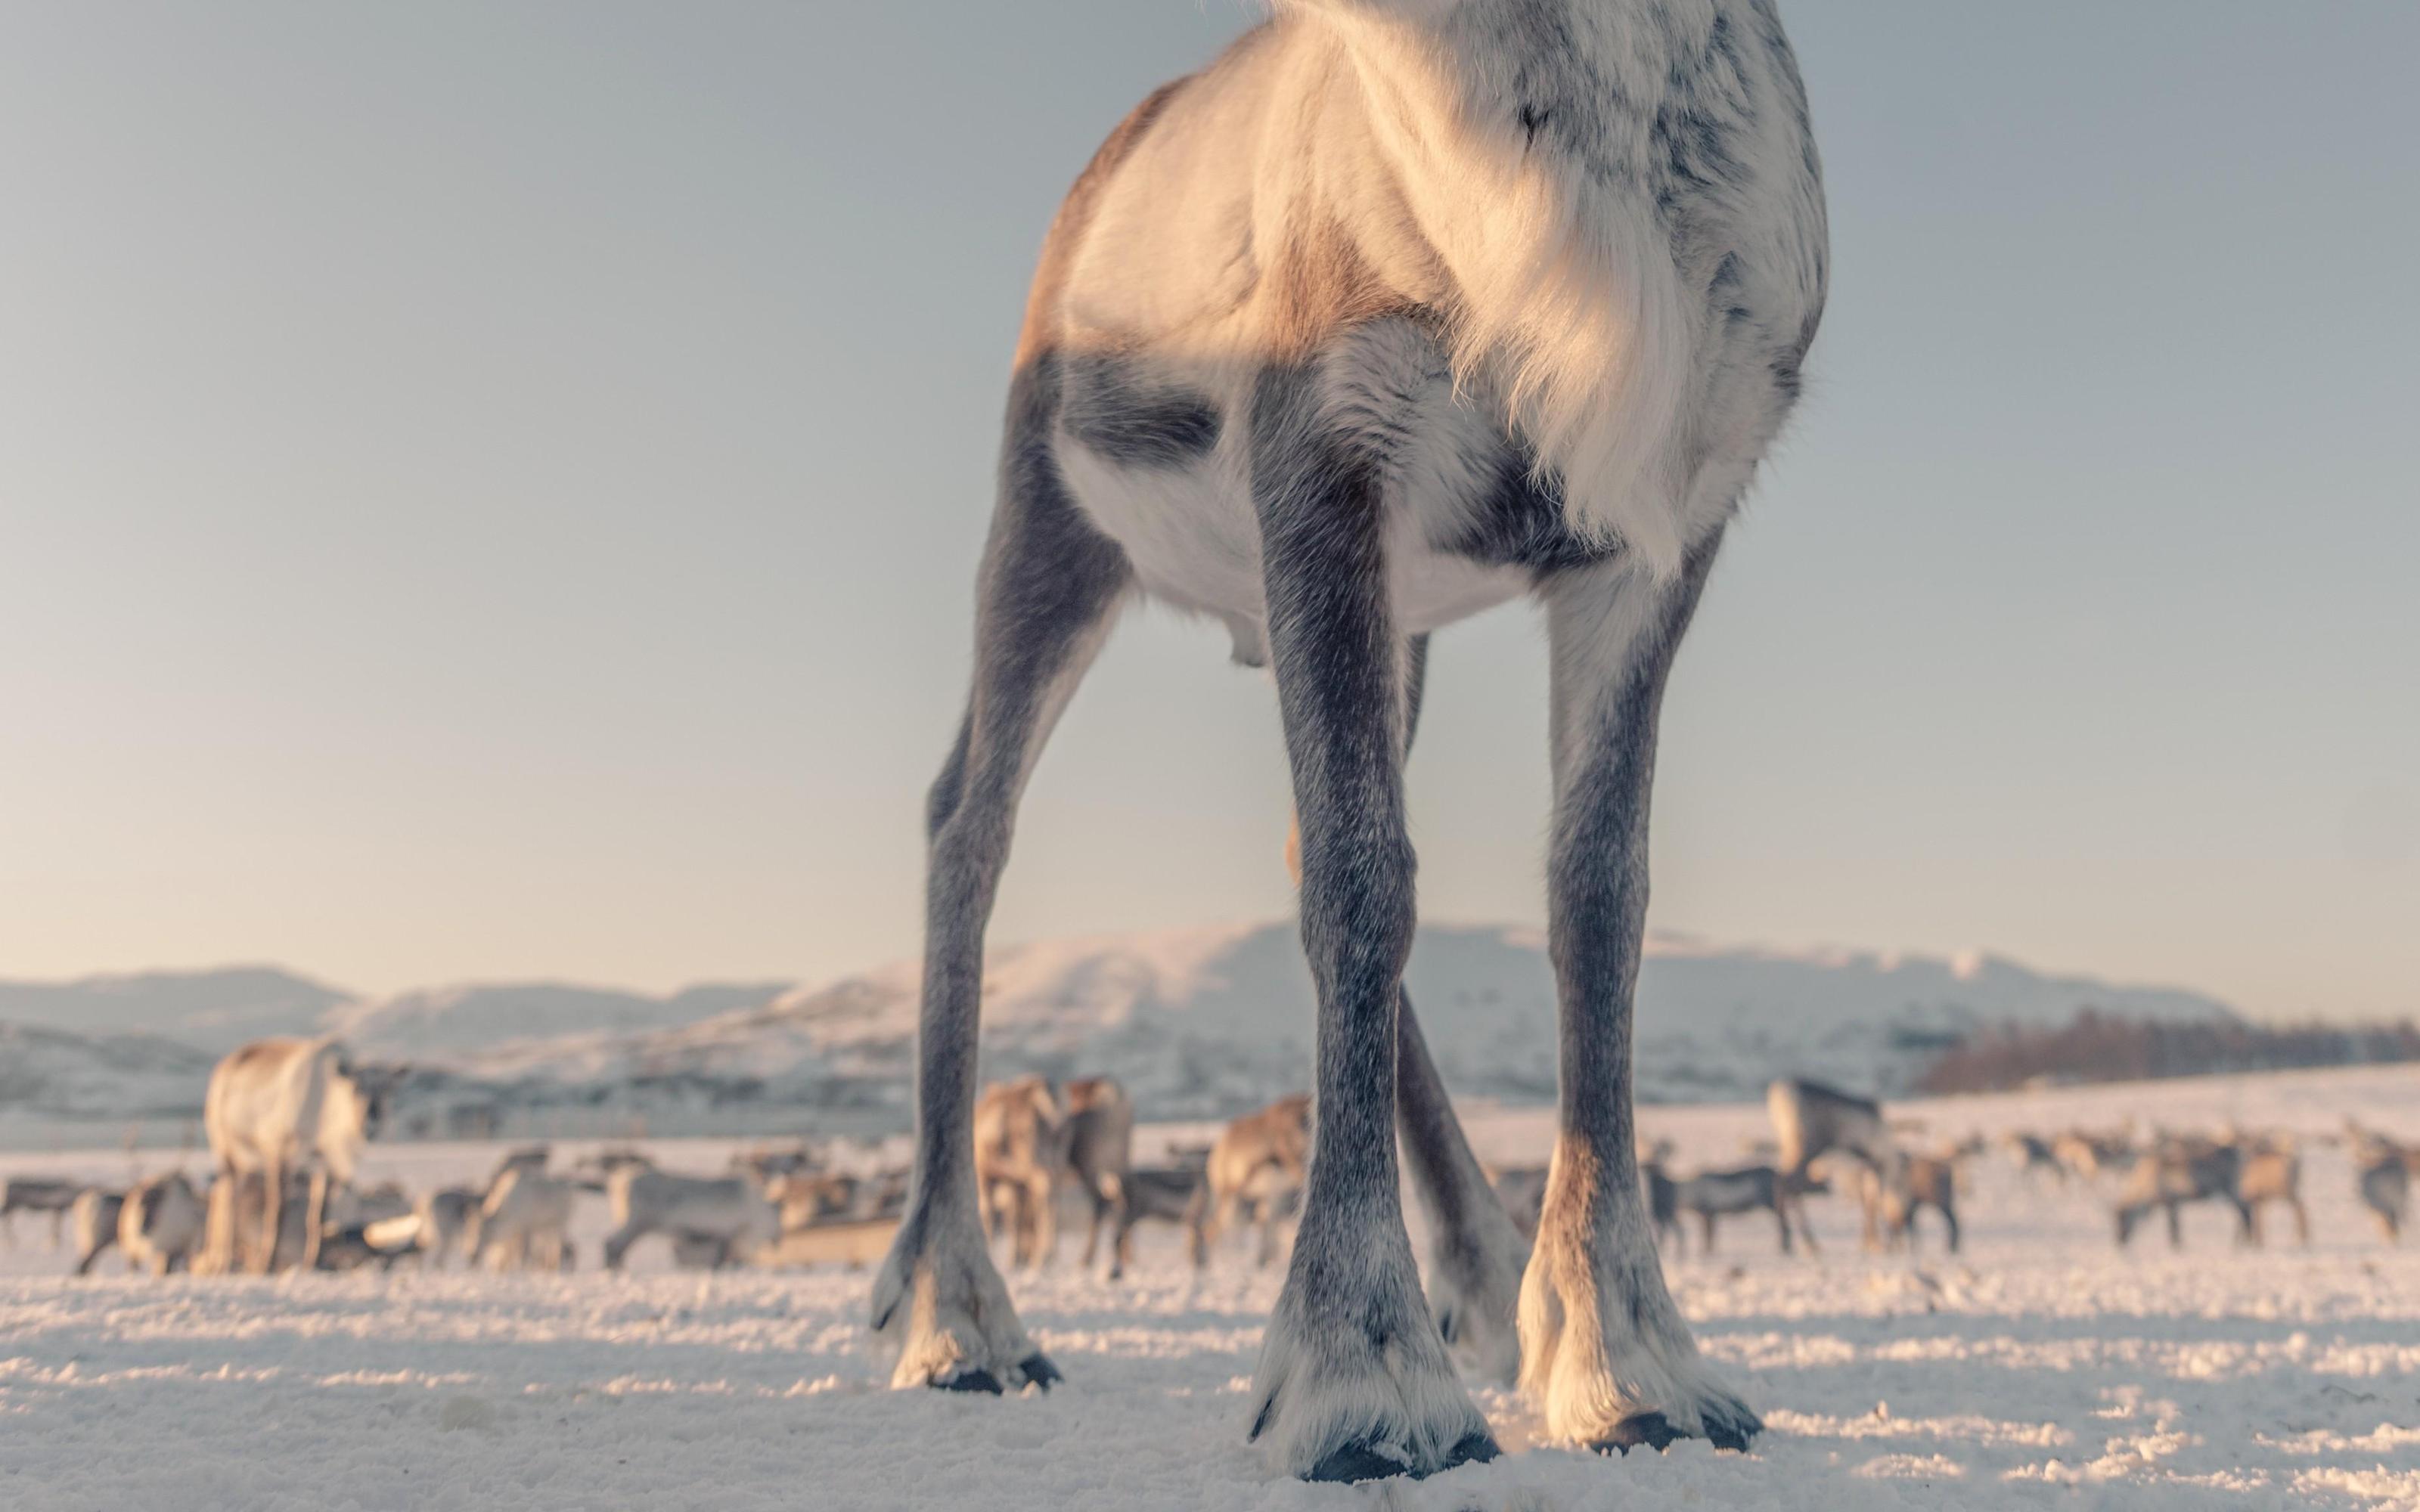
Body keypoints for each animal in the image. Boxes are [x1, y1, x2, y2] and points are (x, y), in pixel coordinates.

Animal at [865, 0, 1827, 1479]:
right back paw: (961, 1313)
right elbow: (1365, 885)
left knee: (1284, 839)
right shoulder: (1321, 446)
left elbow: (1599, 897)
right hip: (1052, 517)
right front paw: (1363, 1373)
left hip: (1403, 618)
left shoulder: (1657, 519)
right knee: (967, 821)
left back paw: (1486, 1272)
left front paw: (1627, 1355)